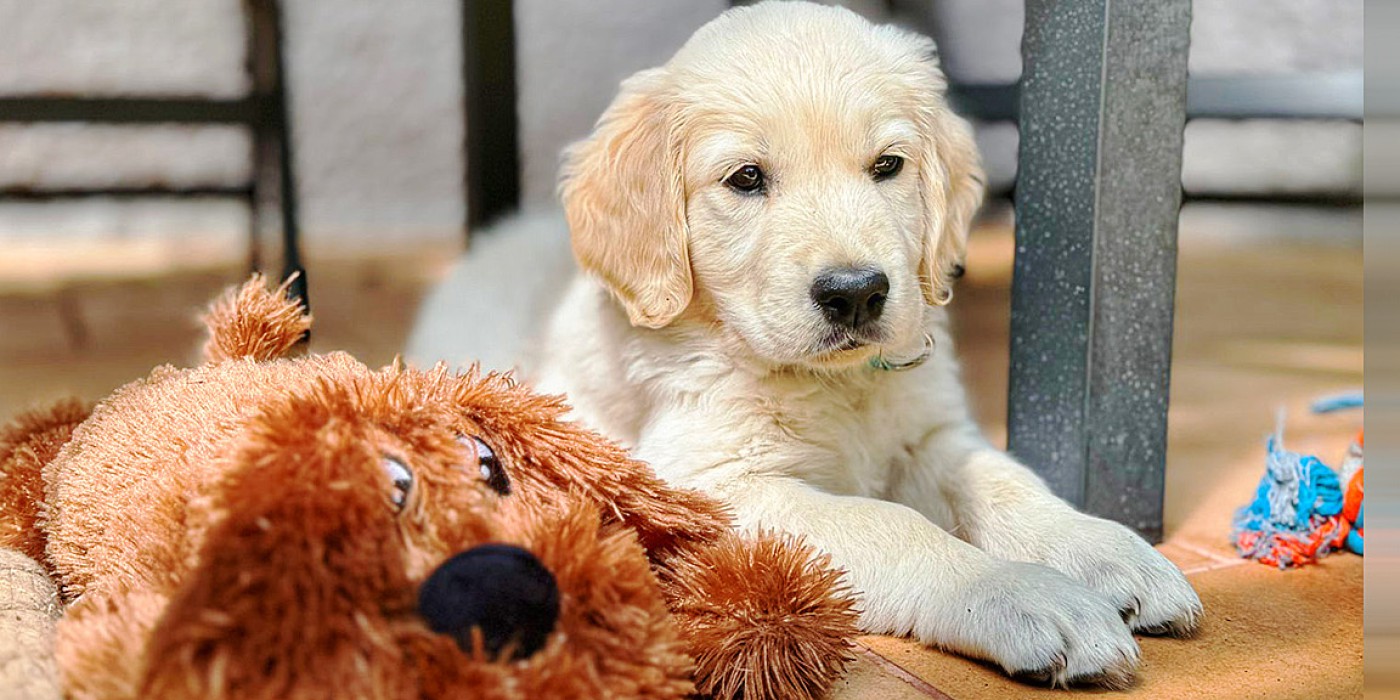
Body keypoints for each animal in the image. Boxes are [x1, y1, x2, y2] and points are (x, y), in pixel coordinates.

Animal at [410, 1, 1202, 687]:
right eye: (746, 178)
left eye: (887, 165)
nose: (856, 292)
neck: (833, 383)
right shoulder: (716, 487)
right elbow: (893, 525)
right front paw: (1027, 594)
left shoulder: (930, 433)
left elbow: (1008, 482)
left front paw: (1103, 551)